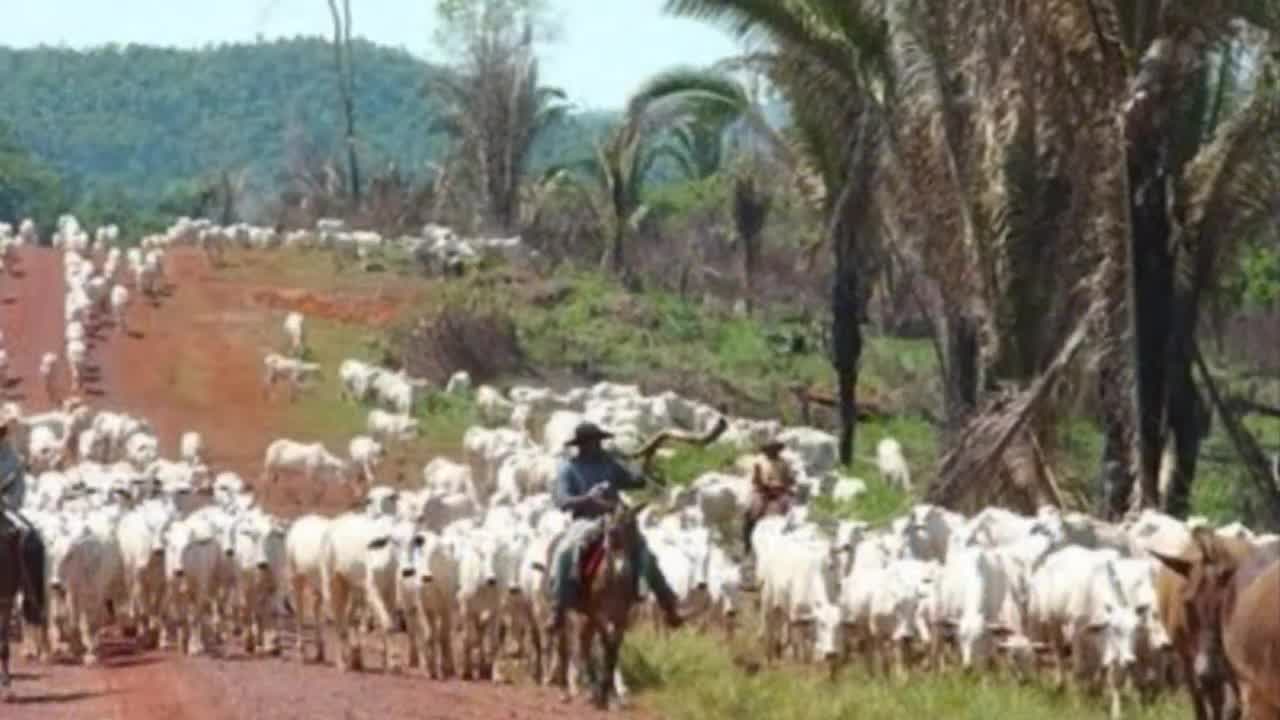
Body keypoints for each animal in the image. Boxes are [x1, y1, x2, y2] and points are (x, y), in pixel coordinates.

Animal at [555, 502, 645, 707]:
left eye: (634, 529)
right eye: (610, 532)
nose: (623, 570)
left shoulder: (622, 617)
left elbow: (613, 650)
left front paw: (611, 694)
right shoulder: (599, 614)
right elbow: (606, 644)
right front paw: (604, 693)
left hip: (587, 618)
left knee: (585, 644)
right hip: (573, 614)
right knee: (570, 645)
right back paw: (574, 689)